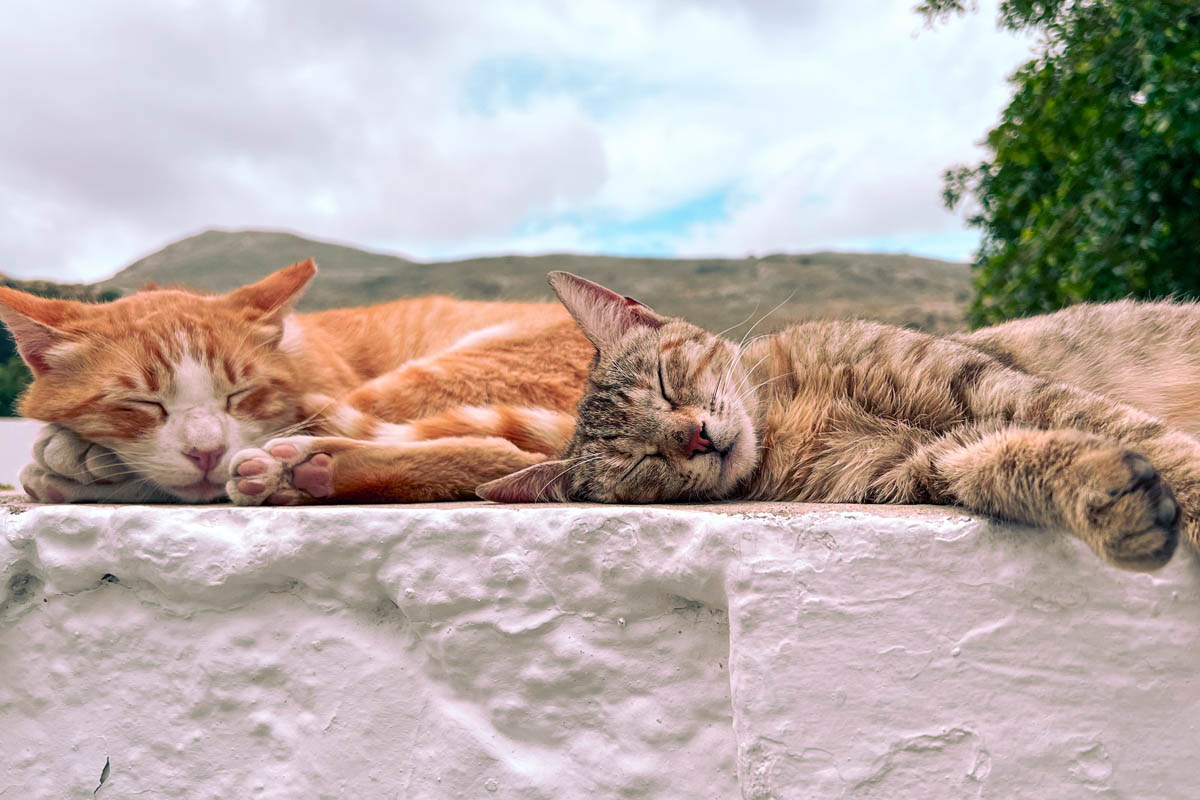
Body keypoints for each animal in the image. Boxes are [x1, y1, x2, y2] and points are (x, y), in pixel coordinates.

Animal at [2, 260, 592, 503]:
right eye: (143, 403)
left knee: (509, 454)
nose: (206, 452)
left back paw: (305, 469)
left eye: (240, 394)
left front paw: (73, 459)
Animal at [477, 272, 1200, 573]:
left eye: (662, 382)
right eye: (637, 462)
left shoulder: (982, 382)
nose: (695, 437)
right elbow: (1013, 462)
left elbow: (1125, 426)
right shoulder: (929, 460)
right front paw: (1112, 499)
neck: (789, 422)